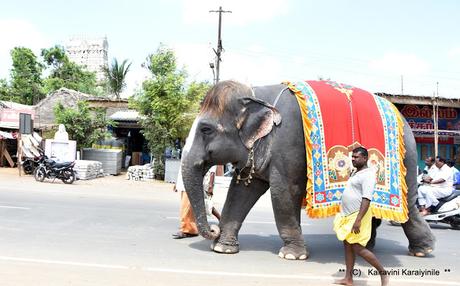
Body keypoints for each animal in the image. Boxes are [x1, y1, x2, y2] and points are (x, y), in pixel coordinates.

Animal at [181, 80, 434, 260]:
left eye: (206, 130)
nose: (213, 229)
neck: (256, 94)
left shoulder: (287, 141)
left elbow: (285, 192)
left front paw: (292, 255)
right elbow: (240, 192)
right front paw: (223, 249)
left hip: (407, 158)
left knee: (409, 204)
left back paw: (422, 250)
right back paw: (366, 245)